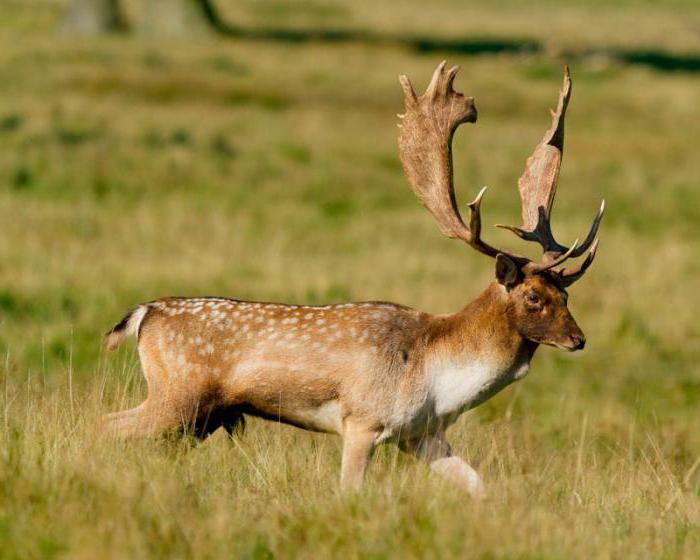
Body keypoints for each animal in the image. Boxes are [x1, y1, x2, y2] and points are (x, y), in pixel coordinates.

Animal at [102, 63, 600, 496]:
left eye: (566, 293)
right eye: (533, 296)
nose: (578, 339)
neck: (436, 374)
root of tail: (144, 314)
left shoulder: (422, 434)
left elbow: (479, 486)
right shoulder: (362, 419)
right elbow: (350, 490)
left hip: (196, 416)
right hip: (177, 396)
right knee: (105, 425)